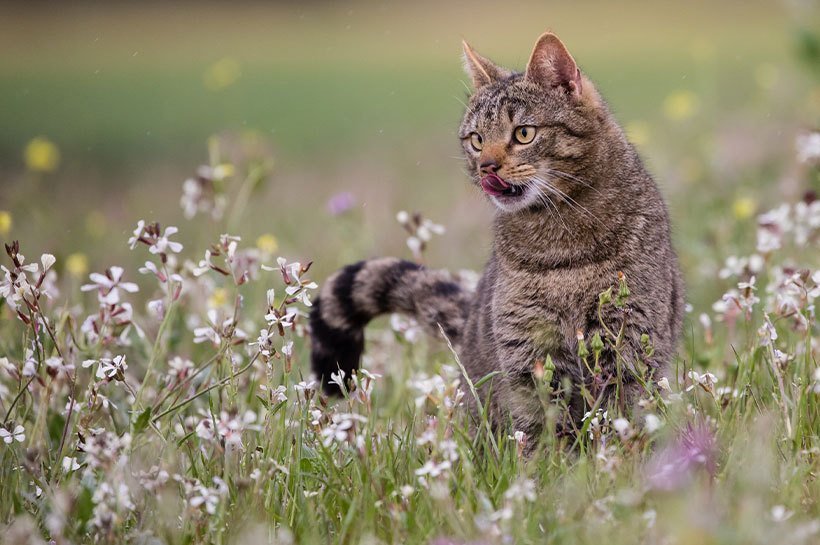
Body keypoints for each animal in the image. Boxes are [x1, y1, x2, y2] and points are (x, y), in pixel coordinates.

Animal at [310, 30, 684, 446]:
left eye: (523, 133)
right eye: (476, 139)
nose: (486, 166)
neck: (557, 238)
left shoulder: (627, 340)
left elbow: (615, 418)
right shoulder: (524, 346)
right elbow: (540, 428)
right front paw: (550, 461)